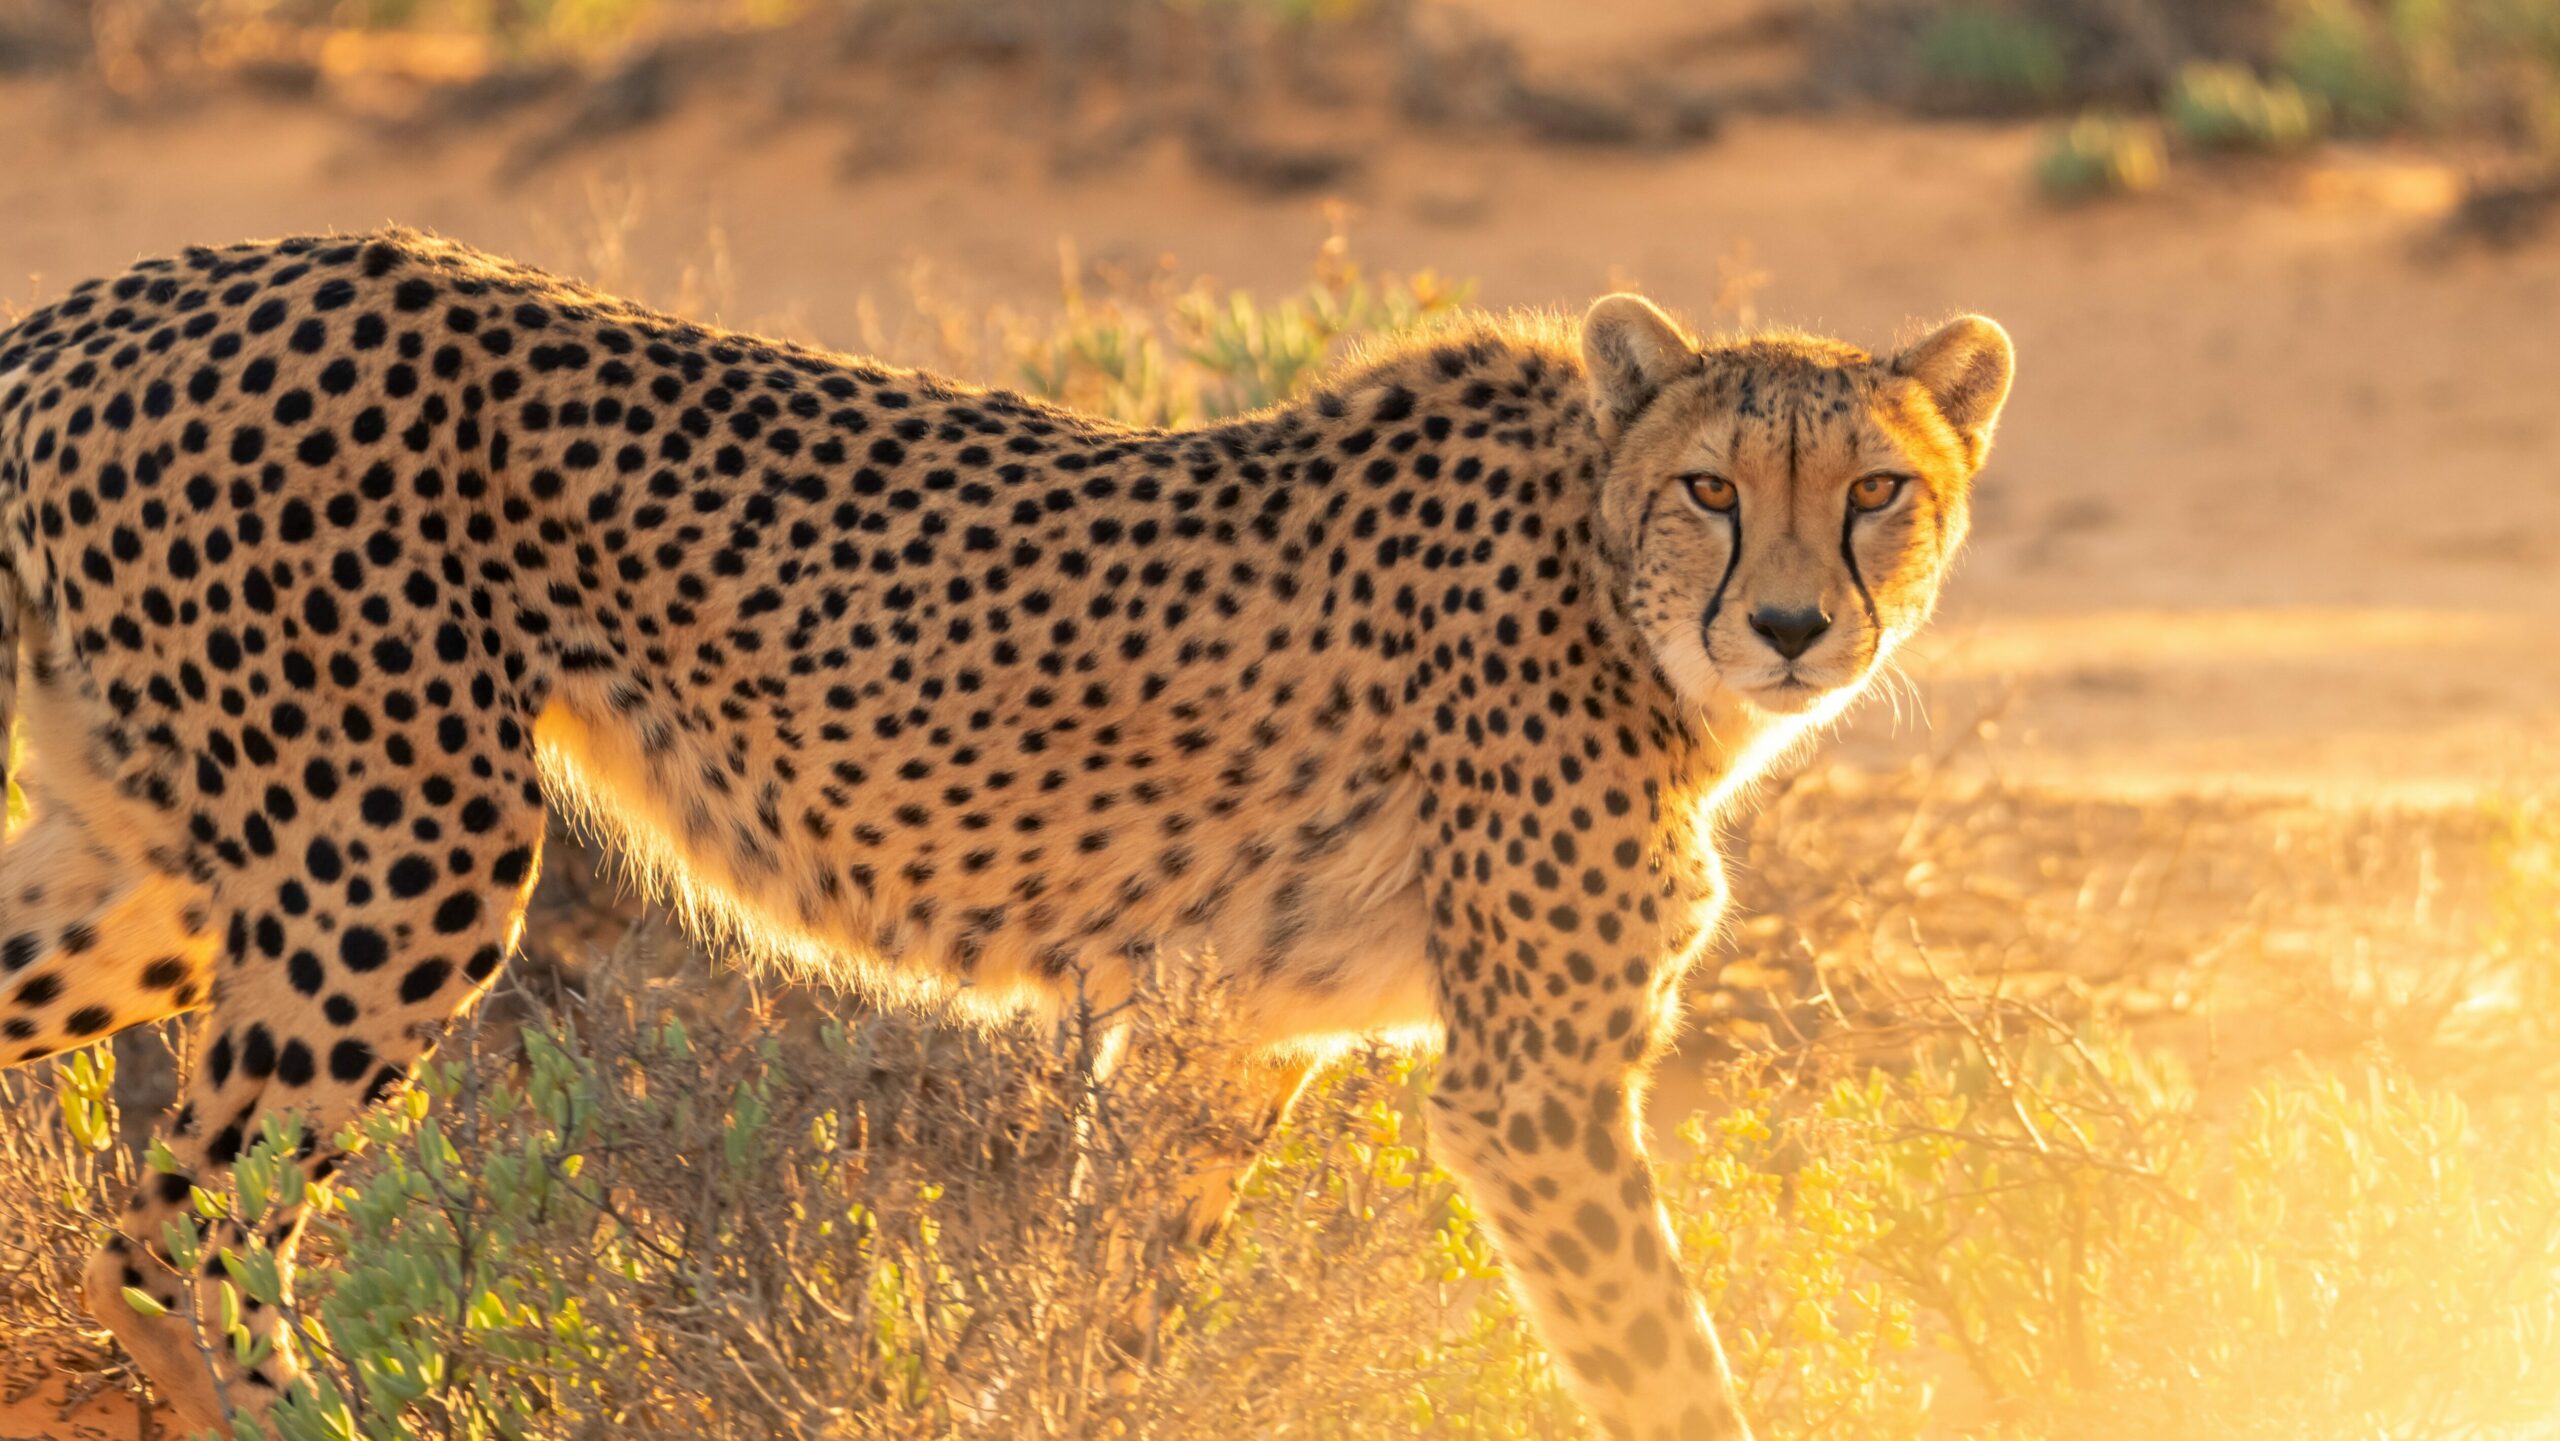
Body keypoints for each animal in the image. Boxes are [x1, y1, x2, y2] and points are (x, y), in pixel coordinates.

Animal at [0, 228, 2012, 1439]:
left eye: (1878, 490)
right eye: (1712, 488)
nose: (1793, 627)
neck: (1604, 571)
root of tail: (119, 295)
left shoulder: (1223, 1041)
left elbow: (1109, 1308)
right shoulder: (1532, 1088)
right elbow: (1664, 1361)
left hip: (163, 872)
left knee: (129, 1179)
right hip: (401, 850)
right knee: (182, 1224)